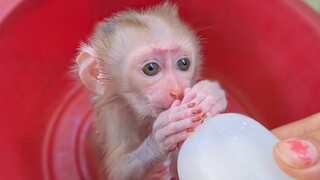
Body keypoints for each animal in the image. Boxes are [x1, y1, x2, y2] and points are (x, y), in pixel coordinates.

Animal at [74, 2, 226, 179]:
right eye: (150, 68)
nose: (176, 90)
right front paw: (163, 133)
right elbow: (118, 171)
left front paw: (210, 93)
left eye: (183, 63)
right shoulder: (114, 116)